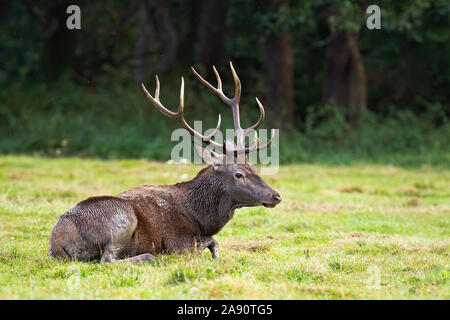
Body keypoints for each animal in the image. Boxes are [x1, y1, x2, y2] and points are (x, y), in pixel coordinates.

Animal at [49, 62, 282, 262]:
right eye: (238, 174)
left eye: (255, 168)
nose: (276, 195)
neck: (200, 218)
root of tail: (56, 244)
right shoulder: (177, 242)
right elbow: (212, 241)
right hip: (122, 218)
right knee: (108, 259)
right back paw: (149, 257)